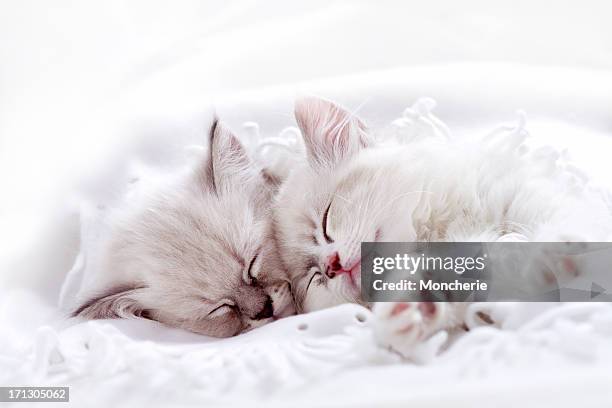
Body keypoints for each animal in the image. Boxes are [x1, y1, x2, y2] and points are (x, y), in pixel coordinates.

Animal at [272, 95, 612, 356]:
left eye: (326, 221)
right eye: (313, 278)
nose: (332, 266)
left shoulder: (530, 199)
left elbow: (559, 225)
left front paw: (554, 254)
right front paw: (413, 312)